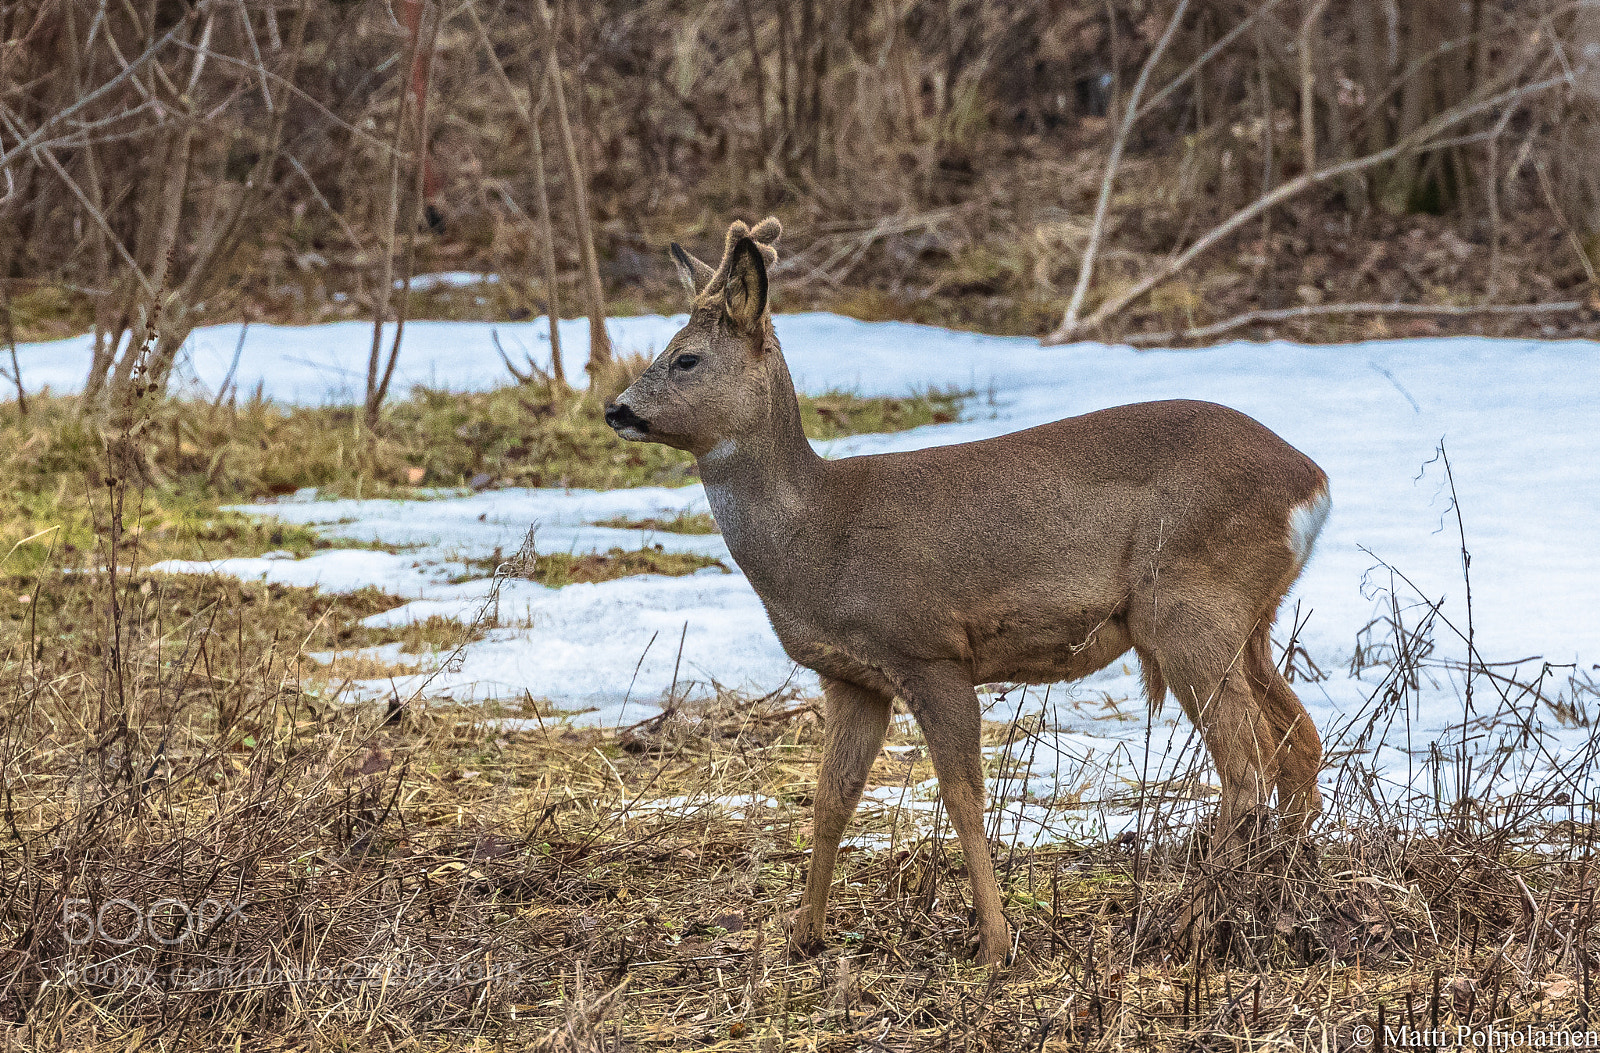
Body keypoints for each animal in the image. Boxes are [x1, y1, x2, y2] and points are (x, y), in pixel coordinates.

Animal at [604, 218, 1330, 967]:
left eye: (686, 358)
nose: (615, 409)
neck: (820, 537)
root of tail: (1312, 482)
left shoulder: (928, 650)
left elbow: (961, 796)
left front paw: (996, 940)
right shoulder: (853, 677)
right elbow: (831, 799)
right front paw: (802, 936)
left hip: (1188, 607)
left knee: (1247, 765)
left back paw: (1186, 922)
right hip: (1250, 617)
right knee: (1299, 743)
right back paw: (1279, 898)